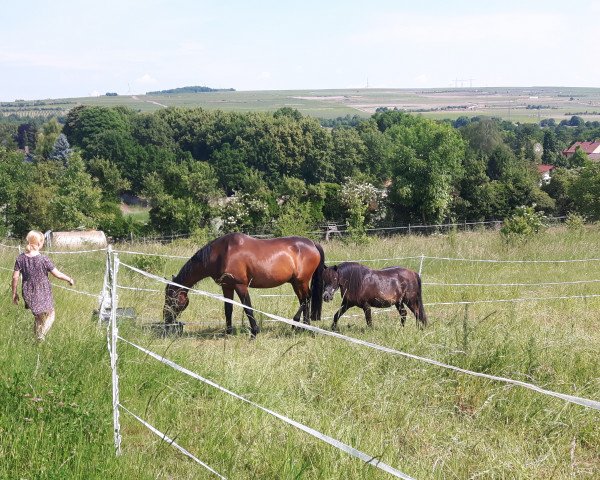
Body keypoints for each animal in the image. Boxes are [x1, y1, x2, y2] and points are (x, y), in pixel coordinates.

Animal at [163, 232, 324, 336]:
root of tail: (312, 244)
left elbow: (248, 308)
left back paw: (297, 324)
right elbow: (228, 309)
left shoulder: (241, 285)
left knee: (306, 299)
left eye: (170, 297)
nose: (166, 319)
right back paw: (303, 327)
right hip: (296, 283)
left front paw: (254, 332)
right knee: (304, 300)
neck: (222, 253)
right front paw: (228, 333)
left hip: (301, 281)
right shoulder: (227, 286)